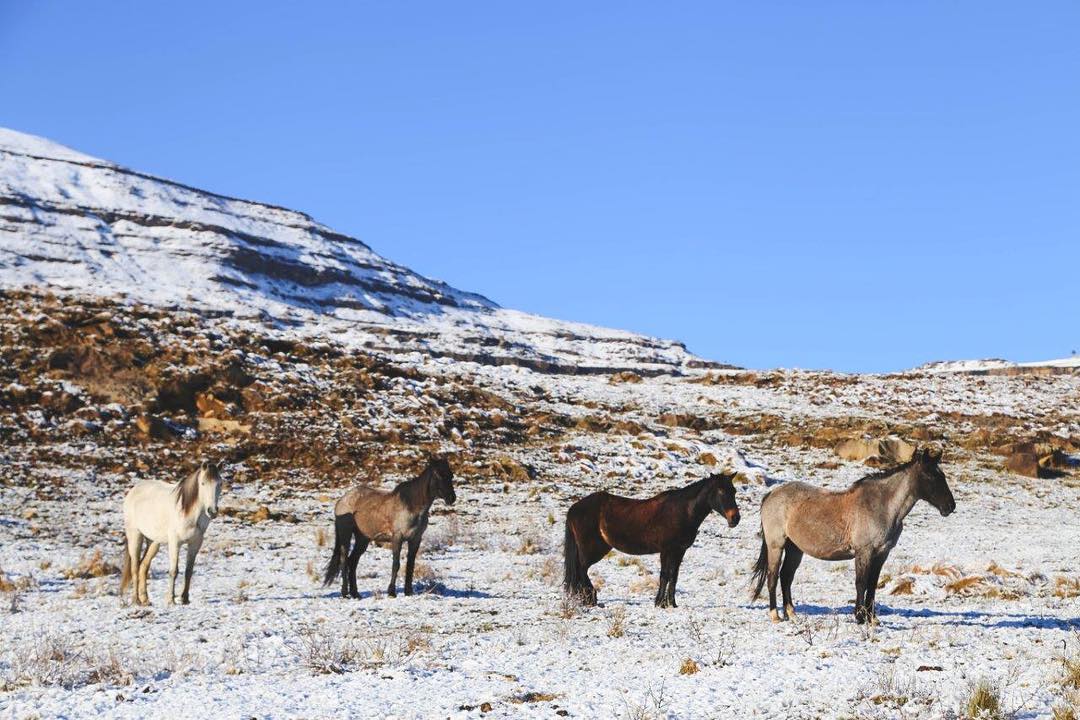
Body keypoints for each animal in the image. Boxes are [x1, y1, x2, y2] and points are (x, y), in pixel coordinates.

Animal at [119, 459, 223, 604]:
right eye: (203, 483)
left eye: (220, 483)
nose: (212, 511)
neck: (188, 512)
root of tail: (134, 490)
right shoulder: (175, 542)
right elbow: (174, 570)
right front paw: (170, 600)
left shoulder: (195, 543)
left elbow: (188, 571)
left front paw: (185, 599)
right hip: (135, 536)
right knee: (135, 568)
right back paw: (136, 600)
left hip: (153, 542)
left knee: (143, 566)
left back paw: (145, 600)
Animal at [319, 459, 455, 600]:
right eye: (438, 474)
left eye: (451, 475)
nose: (451, 498)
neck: (412, 506)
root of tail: (342, 500)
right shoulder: (397, 537)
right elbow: (396, 564)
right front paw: (391, 592)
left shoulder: (415, 539)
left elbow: (410, 565)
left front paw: (408, 592)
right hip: (345, 534)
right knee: (344, 560)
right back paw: (345, 593)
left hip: (363, 539)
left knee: (353, 562)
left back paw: (355, 593)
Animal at [565, 472, 743, 608]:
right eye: (720, 491)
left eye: (734, 491)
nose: (735, 518)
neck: (682, 511)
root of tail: (574, 508)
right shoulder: (666, 550)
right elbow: (664, 575)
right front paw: (659, 603)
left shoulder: (679, 551)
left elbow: (673, 576)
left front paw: (671, 603)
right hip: (593, 549)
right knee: (582, 569)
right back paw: (590, 599)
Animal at [751, 446, 954, 621]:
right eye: (931, 475)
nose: (950, 506)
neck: (882, 506)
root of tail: (771, 494)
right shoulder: (864, 552)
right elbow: (861, 583)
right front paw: (860, 617)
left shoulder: (881, 554)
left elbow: (872, 585)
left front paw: (872, 619)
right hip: (776, 546)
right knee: (773, 577)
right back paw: (775, 616)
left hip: (795, 549)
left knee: (786, 577)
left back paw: (792, 614)